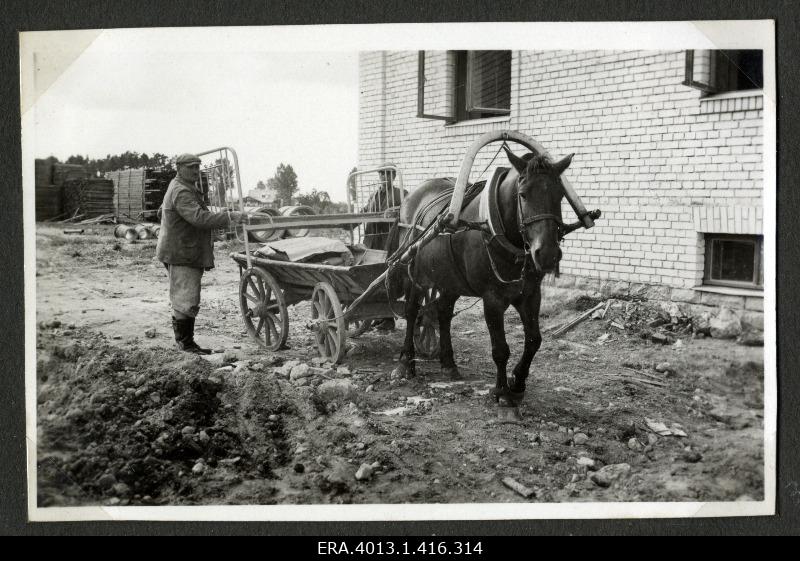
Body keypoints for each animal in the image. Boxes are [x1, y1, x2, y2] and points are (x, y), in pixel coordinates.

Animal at [388, 147, 568, 410]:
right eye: (523, 195)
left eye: (560, 195)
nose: (547, 254)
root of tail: (410, 197)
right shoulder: (492, 299)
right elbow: (500, 348)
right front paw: (502, 392)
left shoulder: (530, 294)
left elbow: (534, 340)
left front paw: (518, 383)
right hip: (413, 271)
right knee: (412, 313)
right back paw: (405, 363)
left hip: (449, 278)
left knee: (443, 313)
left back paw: (448, 363)